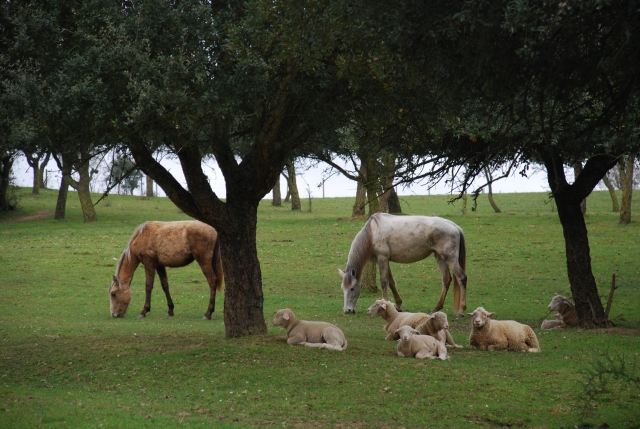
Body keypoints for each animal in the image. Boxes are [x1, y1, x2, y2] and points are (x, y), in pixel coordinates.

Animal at [338, 213, 467, 316]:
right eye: (343, 288)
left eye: (352, 288)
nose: (347, 310)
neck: (372, 232)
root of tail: (455, 226)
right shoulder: (384, 260)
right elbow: (391, 282)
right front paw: (398, 306)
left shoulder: (382, 258)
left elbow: (384, 282)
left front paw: (384, 305)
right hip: (440, 257)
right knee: (446, 280)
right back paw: (436, 308)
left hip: (450, 259)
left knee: (462, 278)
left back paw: (461, 310)